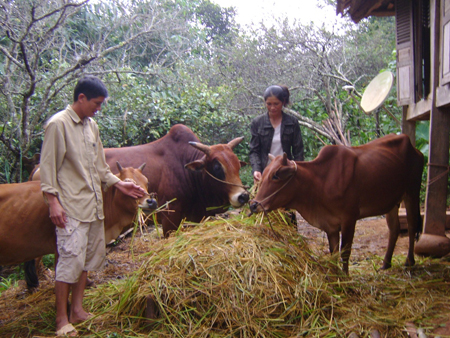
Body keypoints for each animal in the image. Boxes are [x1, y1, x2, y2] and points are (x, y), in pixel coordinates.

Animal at [248, 133, 424, 274]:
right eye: (264, 173)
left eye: (276, 175)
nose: (253, 204)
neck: (321, 182)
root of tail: (414, 148)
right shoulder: (330, 226)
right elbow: (333, 253)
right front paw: (335, 275)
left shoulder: (349, 219)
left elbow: (345, 252)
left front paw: (345, 277)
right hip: (392, 202)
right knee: (394, 229)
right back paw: (386, 264)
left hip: (412, 191)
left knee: (412, 224)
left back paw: (409, 261)